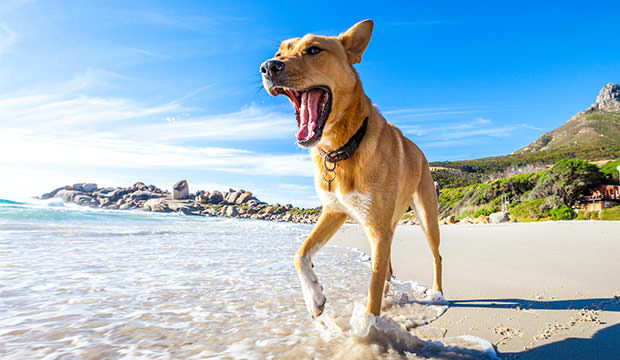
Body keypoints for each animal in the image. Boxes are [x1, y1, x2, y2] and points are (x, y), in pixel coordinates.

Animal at [260, 19, 444, 318]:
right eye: (279, 53)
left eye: (313, 49)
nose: (267, 67)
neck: (343, 148)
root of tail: (420, 152)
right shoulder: (334, 212)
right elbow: (301, 254)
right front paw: (314, 298)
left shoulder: (378, 230)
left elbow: (372, 291)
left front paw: (369, 328)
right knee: (388, 265)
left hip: (426, 217)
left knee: (436, 255)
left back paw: (437, 293)